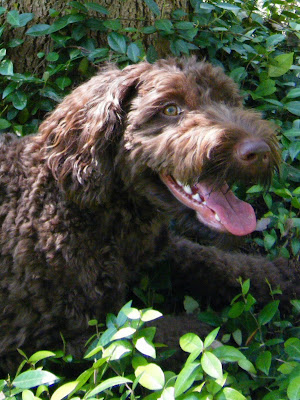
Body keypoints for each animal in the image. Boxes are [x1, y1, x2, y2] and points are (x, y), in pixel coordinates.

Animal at [0, 57, 298, 372]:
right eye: (170, 110)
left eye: (228, 100)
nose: (258, 151)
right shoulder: (35, 348)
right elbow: (139, 335)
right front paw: (208, 343)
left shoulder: (160, 248)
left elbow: (225, 263)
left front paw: (290, 275)